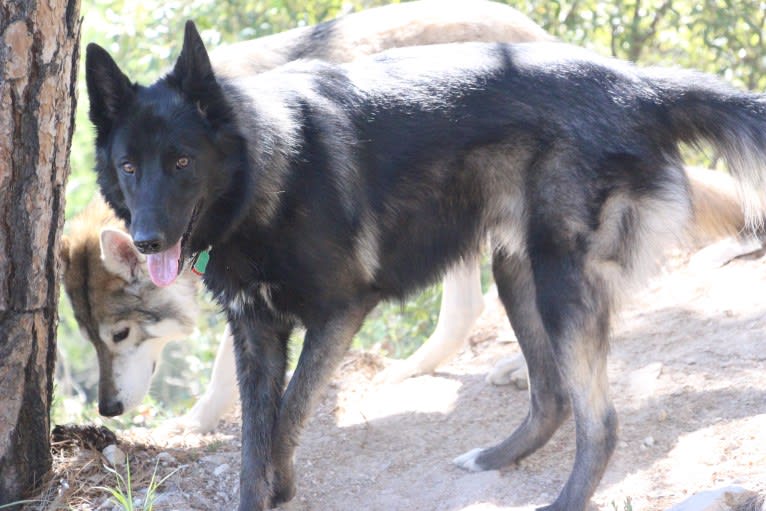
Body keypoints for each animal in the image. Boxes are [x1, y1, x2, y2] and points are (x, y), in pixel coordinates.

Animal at [87, 21, 766, 511]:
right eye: (129, 166)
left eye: (181, 162)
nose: (145, 241)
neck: (266, 171)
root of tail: (639, 87)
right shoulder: (257, 333)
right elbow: (256, 440)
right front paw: (264, 493)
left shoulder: (338, 315)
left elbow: (287, 417)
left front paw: (283, 485)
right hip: (517, 272)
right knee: (551, 396)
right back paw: (495, 458)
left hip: (560, 283)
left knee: (600, 421)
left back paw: (562, 502)